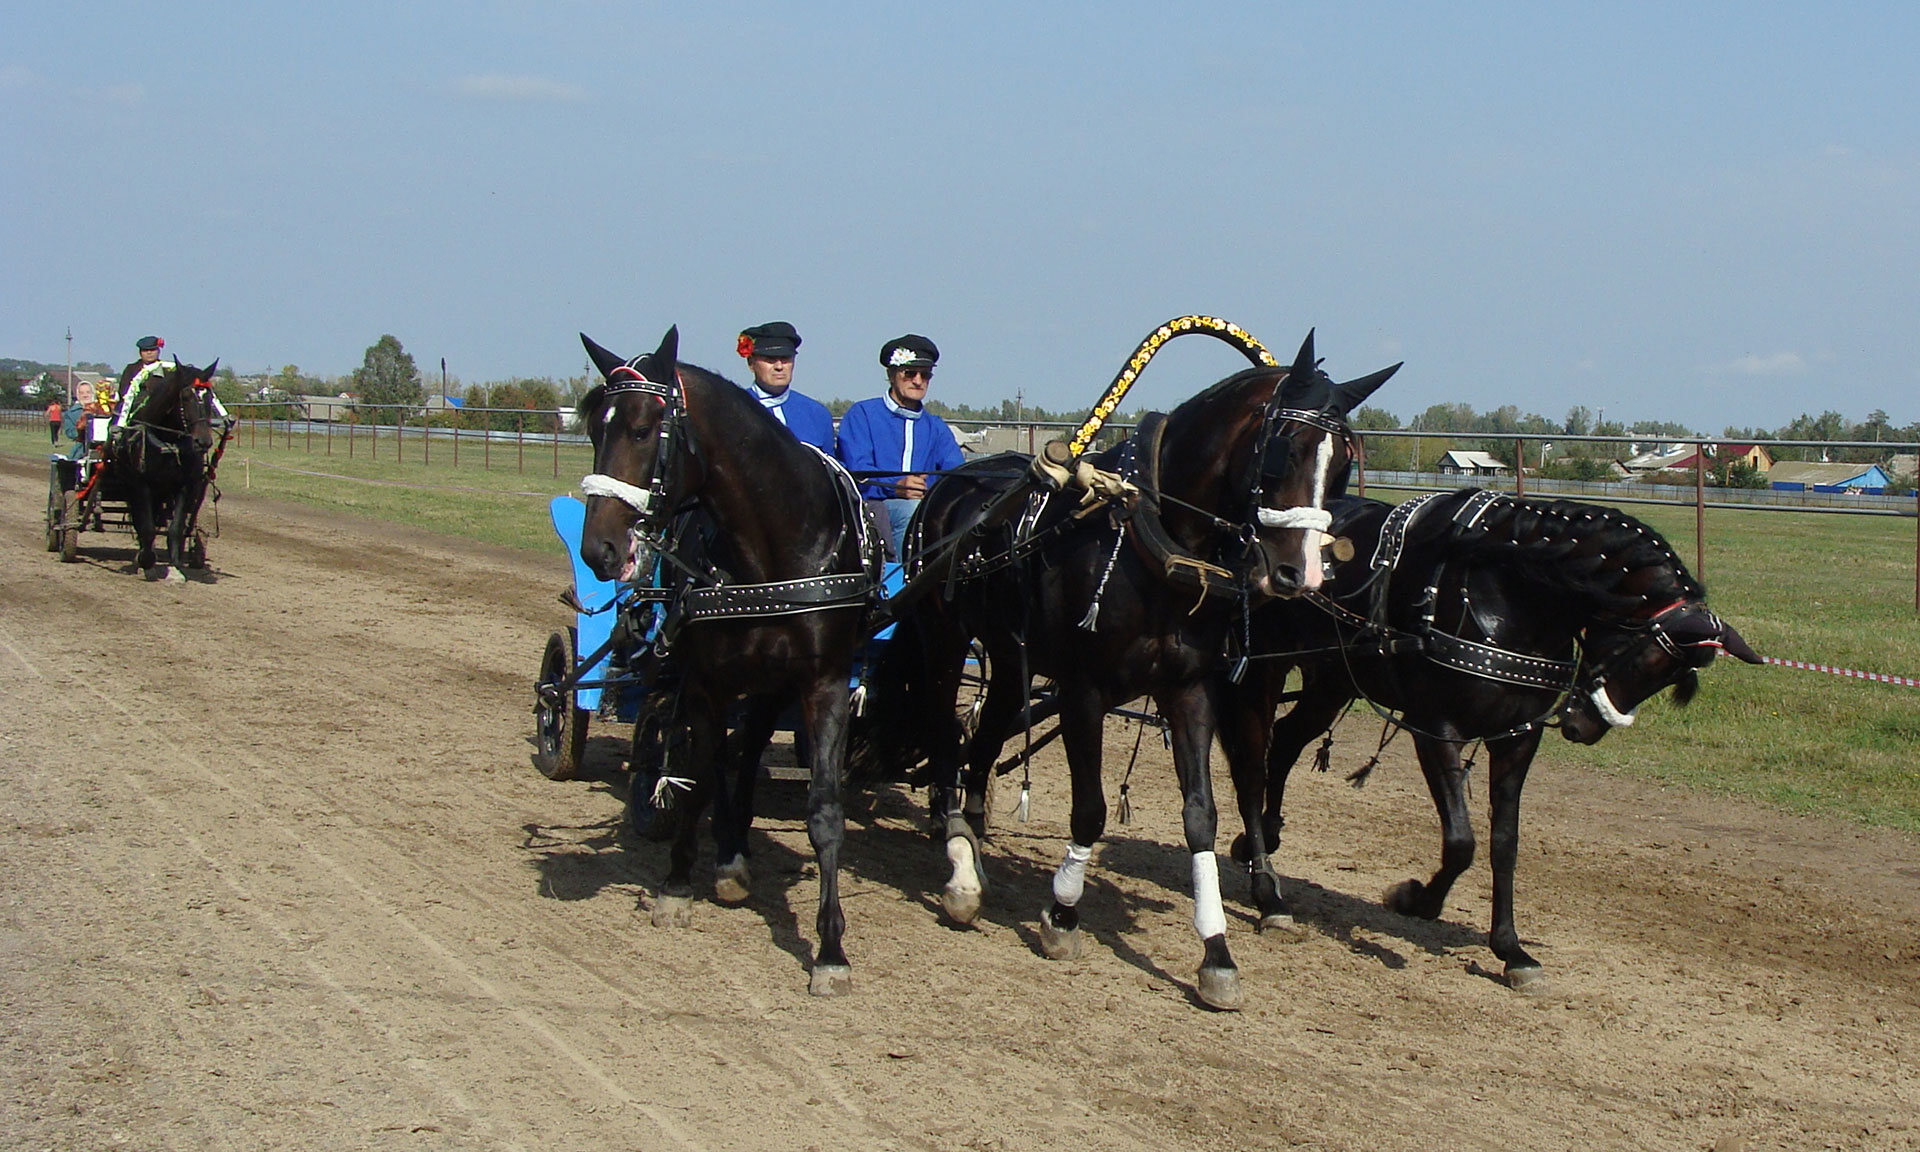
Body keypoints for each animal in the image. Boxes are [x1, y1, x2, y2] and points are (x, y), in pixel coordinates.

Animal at [110, 357, 220, 579]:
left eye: (210, 396)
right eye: (185, 396)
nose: (203, 441)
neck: (166, 440)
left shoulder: (184, 486)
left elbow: (175, 528)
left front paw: (175, 566)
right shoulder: (140, 484)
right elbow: (146, 527)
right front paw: (147, 561)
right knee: (140, 521)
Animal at [576, 326, 879, 998]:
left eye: (644, 428)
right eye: (590, 429)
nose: (599, 550)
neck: (771, 556)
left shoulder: (822, 684)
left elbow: (825, 811)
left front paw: (830, 950)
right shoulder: (707, 682)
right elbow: (693, 780)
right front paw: (675, 887)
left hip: (768, 686)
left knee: (744, 752)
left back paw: (736, 849)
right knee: (711, 755)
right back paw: (724, 854)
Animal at [867, 330, 1397, 1006]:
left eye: (1343, 467)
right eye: (1285, 450)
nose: (1300, 575)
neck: (1153, 541)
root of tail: (951, 482)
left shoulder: (1191, 690)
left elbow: (1201, 815)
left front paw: (1216, 953)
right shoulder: (1084, 691)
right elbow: (1089, 808)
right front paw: (1063, 915)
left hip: (1011, 659)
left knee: (982, 739)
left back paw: (975, 836)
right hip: (942, 637)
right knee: (942, 736)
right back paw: (959, 868)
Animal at [1221, 485, 1758, 990]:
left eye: (1671, 679)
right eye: (1645, 659)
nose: (1584, 728)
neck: (1509, 588)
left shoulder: (1515, 740)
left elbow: (1505, 842)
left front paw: (1510, 949)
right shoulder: (1435, 729)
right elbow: (1461, 842)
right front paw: (1416, 899)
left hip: (1332, 681)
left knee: (1285, 743)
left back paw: (1262, 837)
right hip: (1265, 671)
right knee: (1253, 760)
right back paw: (1265, 879)